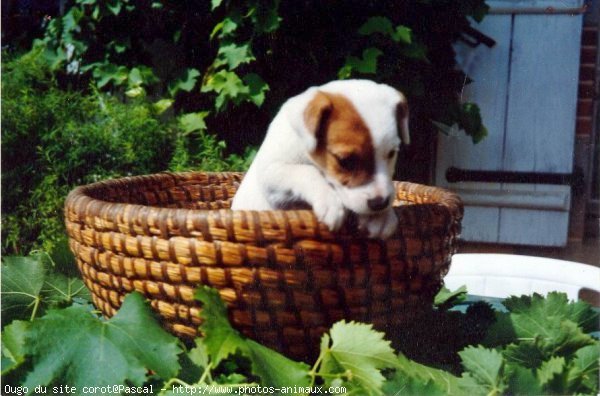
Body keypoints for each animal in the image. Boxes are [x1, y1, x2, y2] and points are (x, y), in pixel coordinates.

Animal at [232, 79, 410, 238]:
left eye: (392, 153)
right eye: (345, 161)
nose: (380, 203)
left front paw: (383, 216)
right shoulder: (271, 173)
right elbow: (306, 171)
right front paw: (330, 200)